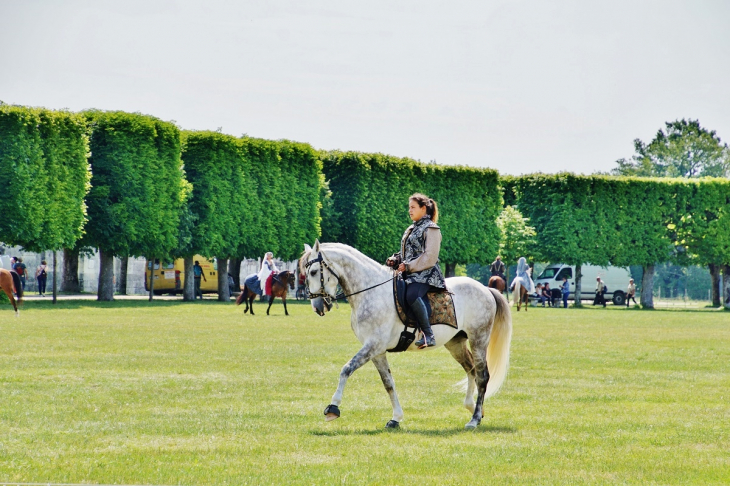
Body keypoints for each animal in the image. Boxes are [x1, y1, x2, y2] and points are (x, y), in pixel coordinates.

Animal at [298, 240, 512, 430]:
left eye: (314, 272)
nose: (318, 307)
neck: (371, 292)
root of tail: (486, 288)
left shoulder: (372, 345)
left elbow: (346, 369)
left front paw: (333, 407)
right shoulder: (377, 352)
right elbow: (388, 383)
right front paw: (396, 418)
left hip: (479, 338)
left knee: (482, 376)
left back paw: (474, 419)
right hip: (455, 343)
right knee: (470, 369)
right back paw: (474, 408)